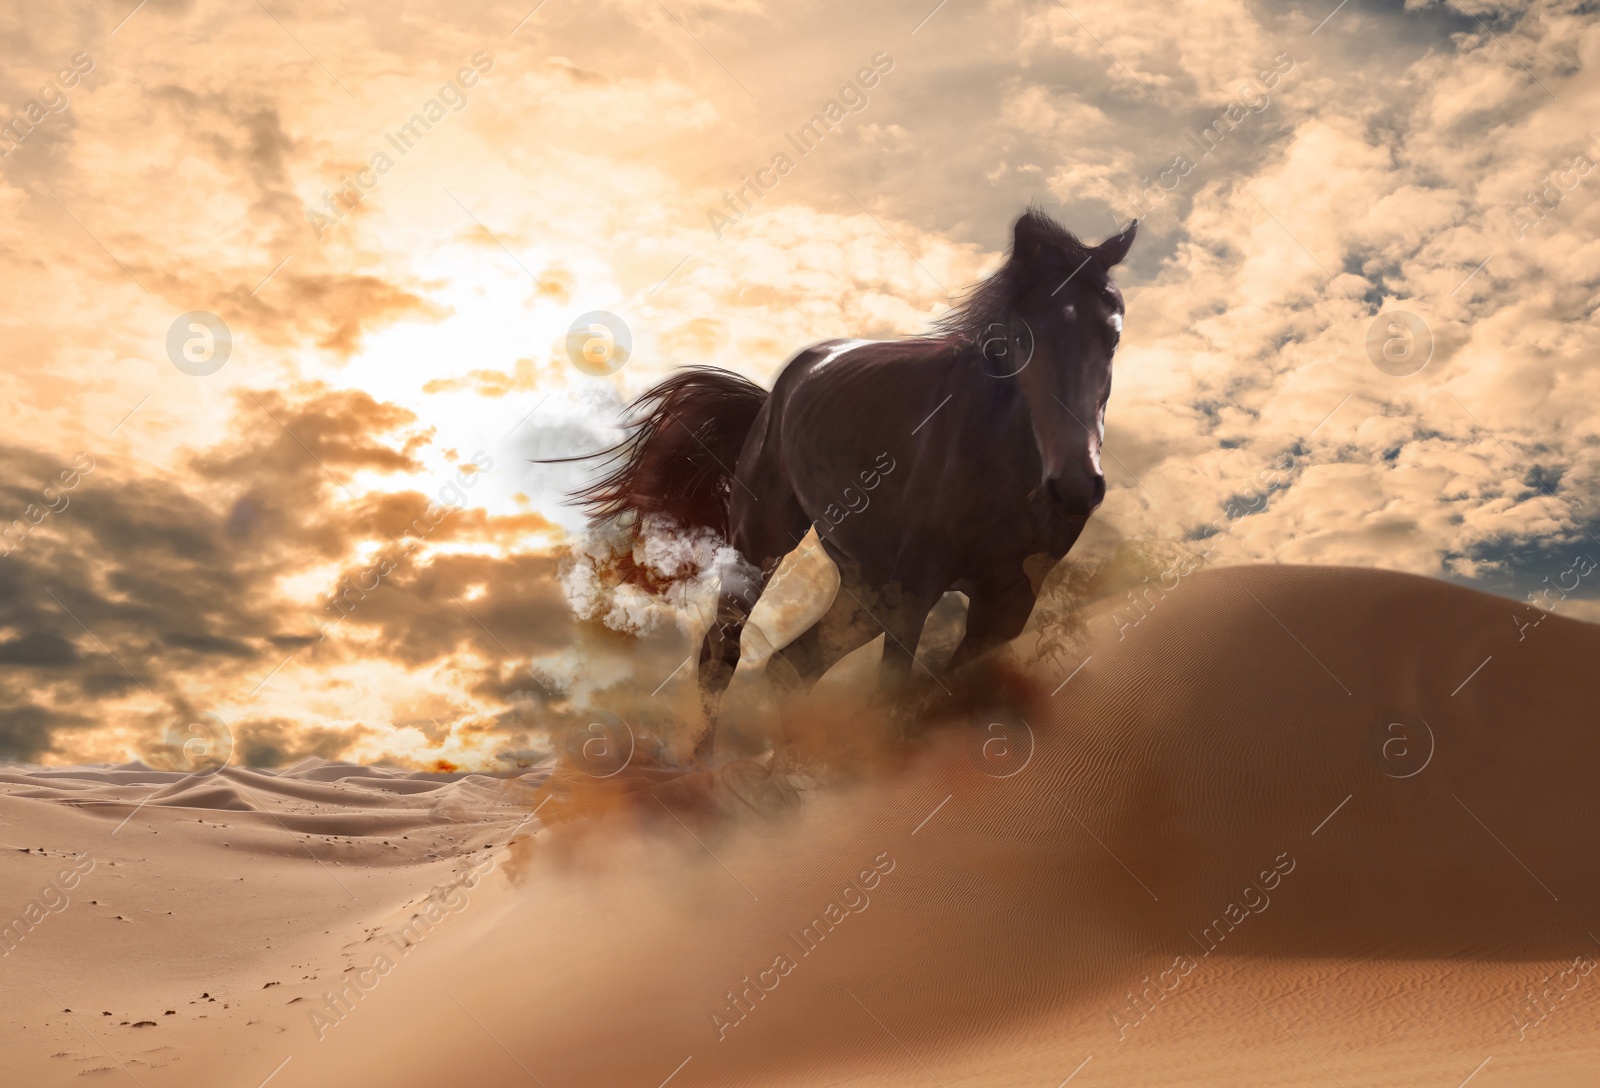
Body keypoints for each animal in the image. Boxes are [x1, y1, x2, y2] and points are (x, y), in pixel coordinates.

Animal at [569, 209, 1132, 755]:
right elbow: (887, 707)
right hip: (764, 544)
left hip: (864, 584)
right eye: (1020, 337)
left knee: (791, 667)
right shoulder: (914, 592)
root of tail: (777, 392)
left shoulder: (1006, 607)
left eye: (1113, 334)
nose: (1075, 487)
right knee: (721, 653)